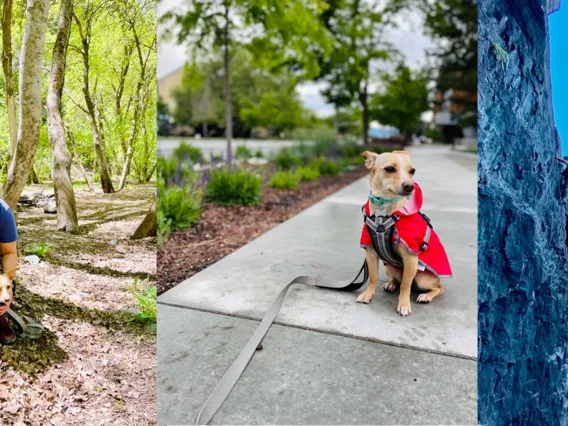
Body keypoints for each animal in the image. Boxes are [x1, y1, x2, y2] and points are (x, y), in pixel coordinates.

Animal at [360, 151, 452, 316]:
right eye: (390, 169)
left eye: (412, 171)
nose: (410, 186)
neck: (383, 211)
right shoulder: (370, 253)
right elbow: (373, 278)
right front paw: (368, 295)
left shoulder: (411, 259)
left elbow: (405, 285)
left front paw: (403, 305)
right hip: (390, 268)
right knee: (397, 279)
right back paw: (391, 284)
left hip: (422, 278)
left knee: (438, 288)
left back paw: (426, 296)